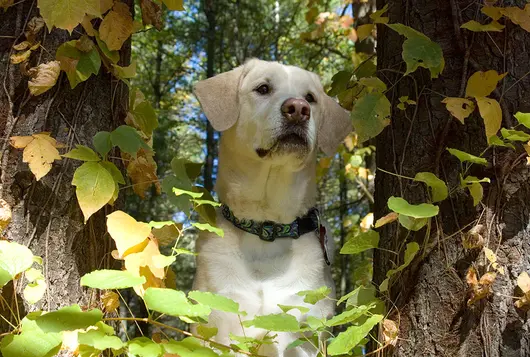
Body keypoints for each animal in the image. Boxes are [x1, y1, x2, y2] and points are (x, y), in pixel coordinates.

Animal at [191, 59, 350, 354]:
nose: (298, 109)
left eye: (311, 97)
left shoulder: (304, 330)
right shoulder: (219, 323)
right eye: (263, 88)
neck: (267, 226)